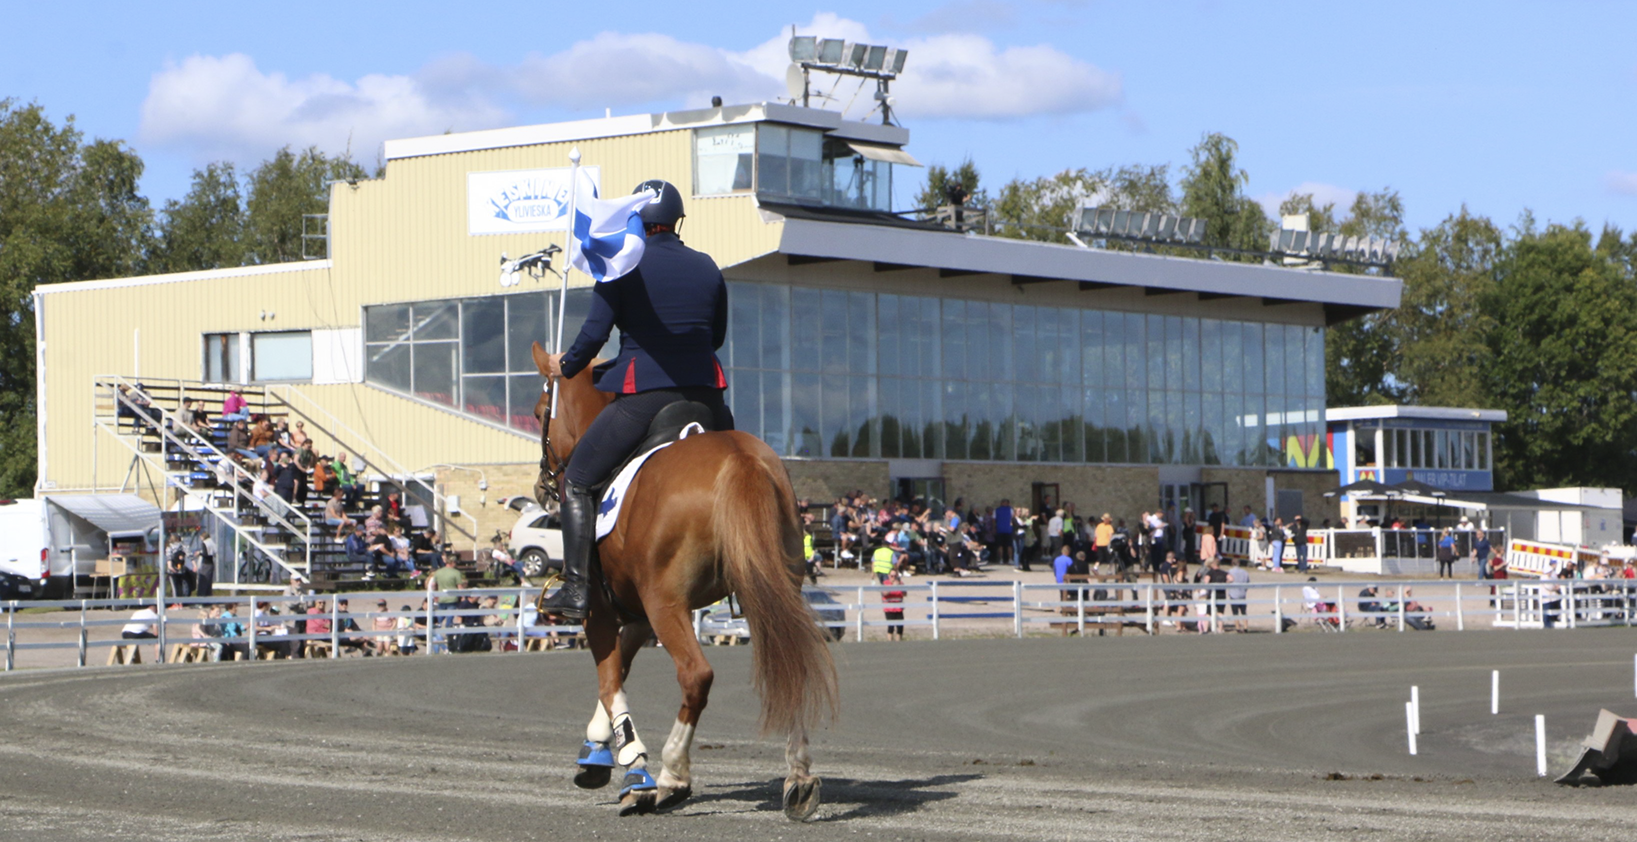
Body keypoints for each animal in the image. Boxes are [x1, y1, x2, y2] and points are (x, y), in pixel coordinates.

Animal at [530, 337, 838, 815]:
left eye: (540, 410)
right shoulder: (638, 613)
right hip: (767, 590)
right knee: (792, 662)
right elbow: (620, 666)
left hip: (668, 604)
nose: (542, 486)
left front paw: (632, 768)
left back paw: (672, 774)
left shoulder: (604, 609)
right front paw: (597, 748)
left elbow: (609, 676)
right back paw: (800, 776)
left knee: (696, 676)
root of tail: (740, 460)